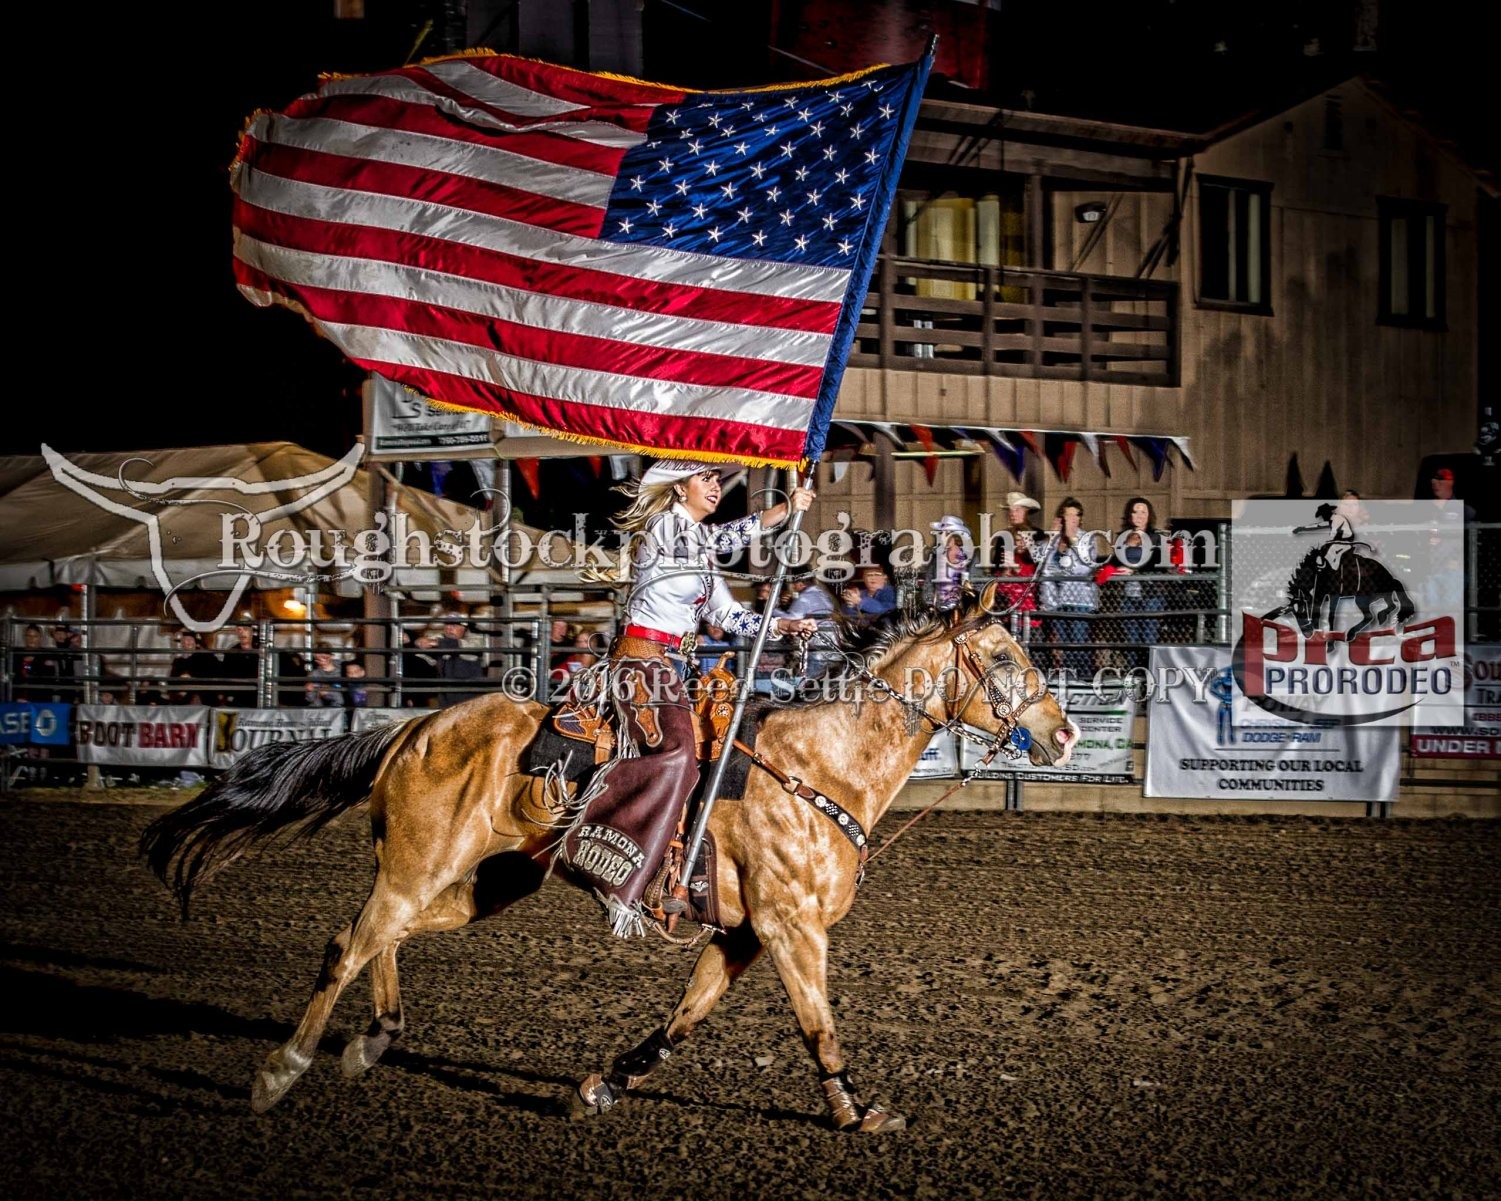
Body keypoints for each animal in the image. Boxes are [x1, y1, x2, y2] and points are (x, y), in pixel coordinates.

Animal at [141, 585, 1074, 1128]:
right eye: (1000, 656)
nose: (1063, 733)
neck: (818, 766)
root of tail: (416, 726)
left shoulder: (738, 934)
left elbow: (683, 1020)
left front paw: (603, 1085)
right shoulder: (789, 926)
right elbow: (818, 1024)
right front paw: (856, 1111)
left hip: (486, 881)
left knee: (378, 937)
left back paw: (373, 1041)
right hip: (417, 865)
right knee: (351, 943)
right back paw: (281, 1070)